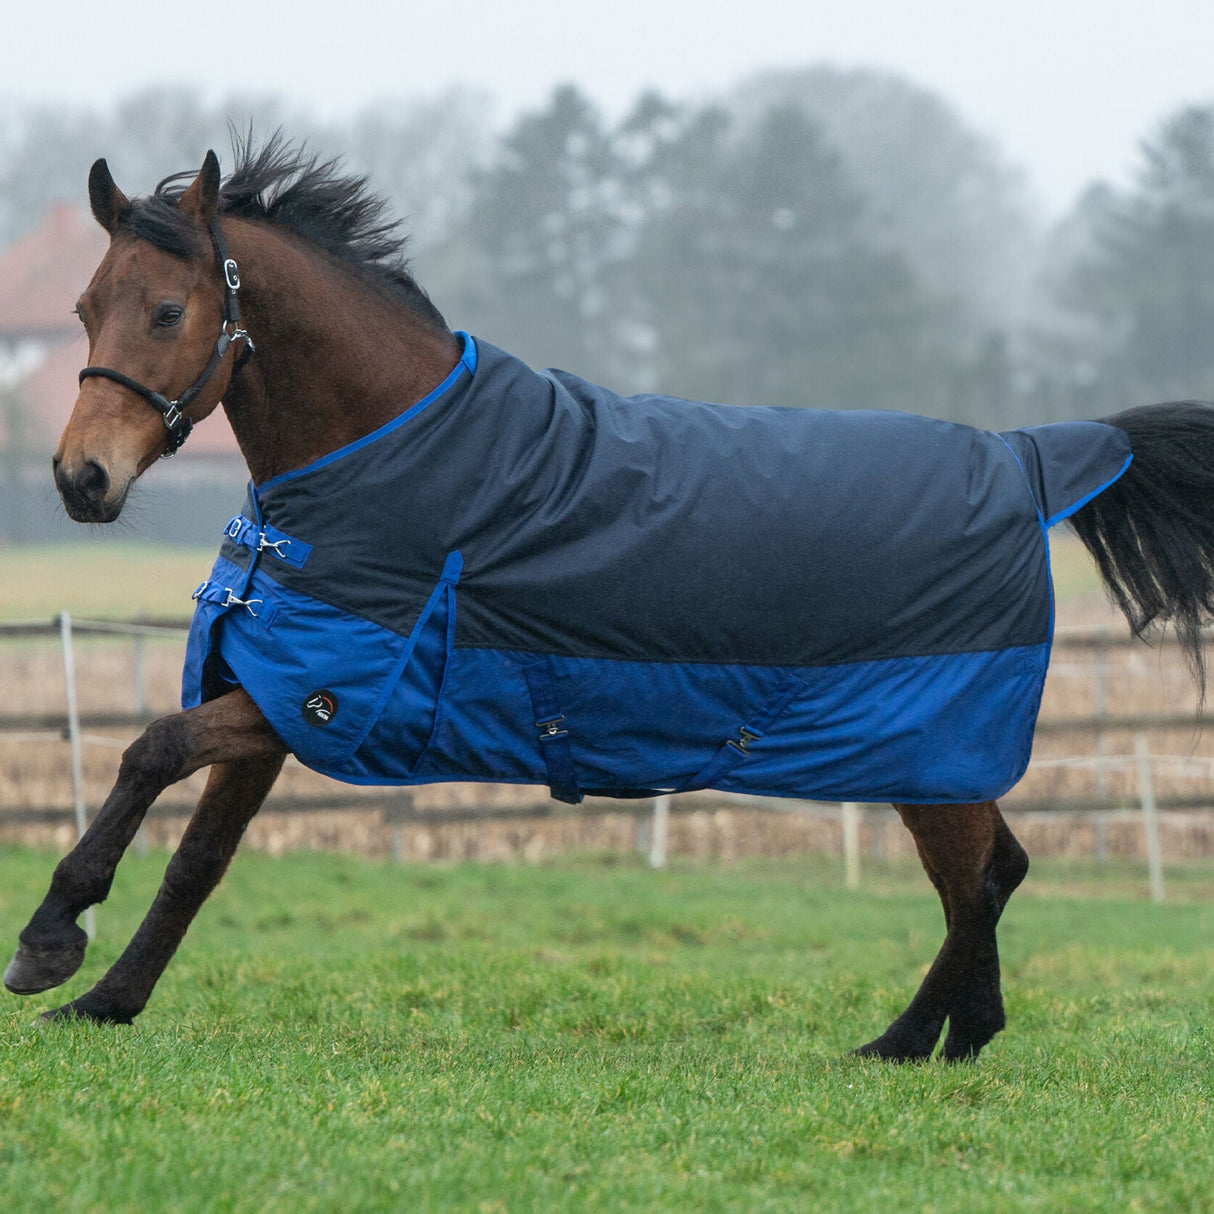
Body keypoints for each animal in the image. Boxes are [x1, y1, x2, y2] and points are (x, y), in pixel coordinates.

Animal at [7, 135, 1214, 1063]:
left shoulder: (328, 698)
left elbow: (149, 750)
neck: (392, 456)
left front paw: (50, 937)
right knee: (995, 872)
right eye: (83, 305)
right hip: (930, 755)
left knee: (976, 880)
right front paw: (105, 999)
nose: (79, 479)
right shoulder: (277, 693)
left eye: (170, 310)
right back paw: (947, 1036)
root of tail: (1025, 459)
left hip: (931, 743)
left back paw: (917, 1040)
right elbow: (197, 861)